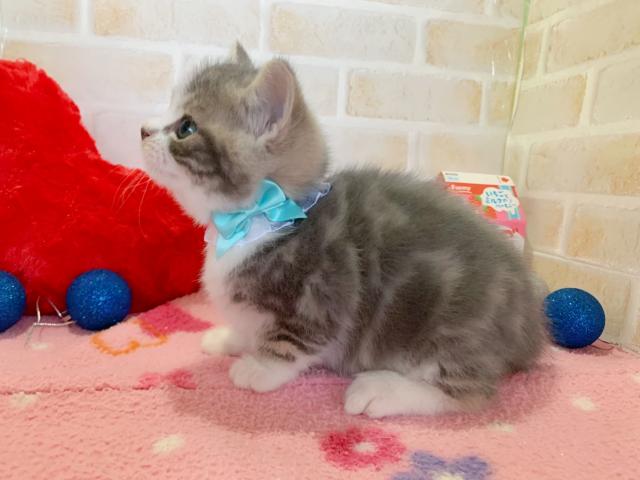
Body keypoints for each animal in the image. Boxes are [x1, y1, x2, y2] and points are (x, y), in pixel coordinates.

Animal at [141, 43, 548, 418]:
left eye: (186, 127)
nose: (143, 130)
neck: (263, 221)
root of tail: (531, 325)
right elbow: (248, 327)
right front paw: (231, 337)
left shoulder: (324, 294)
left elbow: (293, 343)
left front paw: (259, 367)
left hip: (453, 326)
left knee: (470, 392)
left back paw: (381, 390)